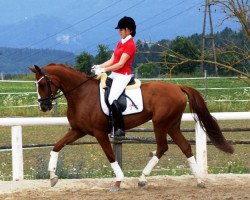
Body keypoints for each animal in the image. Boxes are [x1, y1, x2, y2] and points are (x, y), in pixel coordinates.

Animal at [29, 63, 234, 191]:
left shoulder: (99, 133)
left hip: (160, 123)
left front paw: (119, 181)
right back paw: (199, 181)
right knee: (185, 147)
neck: (81, 94)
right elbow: (57, 146)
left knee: (162, 147)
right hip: (172, 125)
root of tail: (177, 87)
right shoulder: (78, 130)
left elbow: (110, 156)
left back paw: (143, 179)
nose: (43, 106)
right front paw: (52, 177)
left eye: (43, 84)